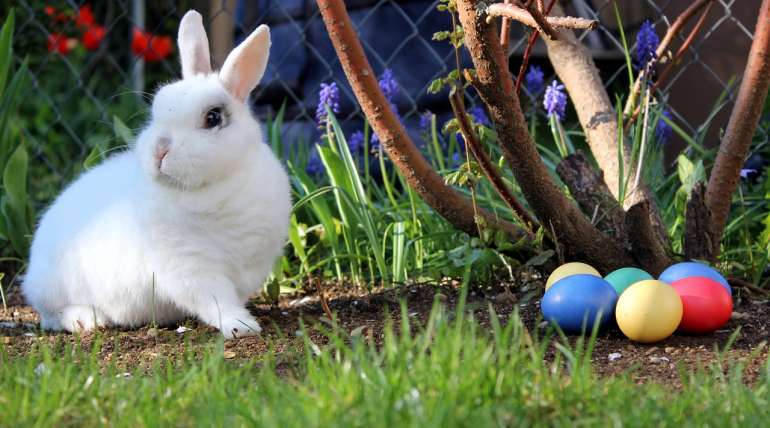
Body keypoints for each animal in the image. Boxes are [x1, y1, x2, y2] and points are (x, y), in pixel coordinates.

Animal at [21, 10, 291, 339]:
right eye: (157, 110)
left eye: (213, 117)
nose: (159, 152)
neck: (216, 187)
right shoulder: (190, 267)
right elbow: (215, 300)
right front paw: (241, 326)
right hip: (55, 289)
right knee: (52, 315)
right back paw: (85, 320)